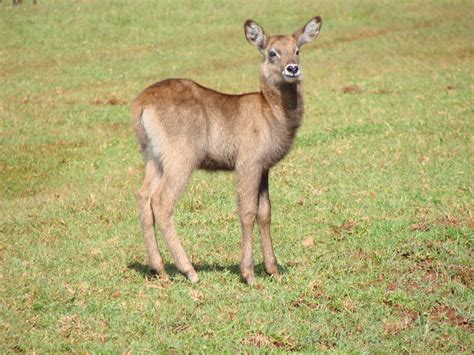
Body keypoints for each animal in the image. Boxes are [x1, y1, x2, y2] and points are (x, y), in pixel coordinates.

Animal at [131, 16, 320, 286]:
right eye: (272, 52)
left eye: (297, 50)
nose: (292, 69)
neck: (272, 114)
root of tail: (141, 104)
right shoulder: (248, 163)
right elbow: (247, 211)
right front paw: (249, 273)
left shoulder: (264, 168)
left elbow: (265, 212)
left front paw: (273, 269)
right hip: (181, 157)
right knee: (161, 201)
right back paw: (189, 270)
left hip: (153, 157)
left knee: (143, 196)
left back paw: (160, 270)